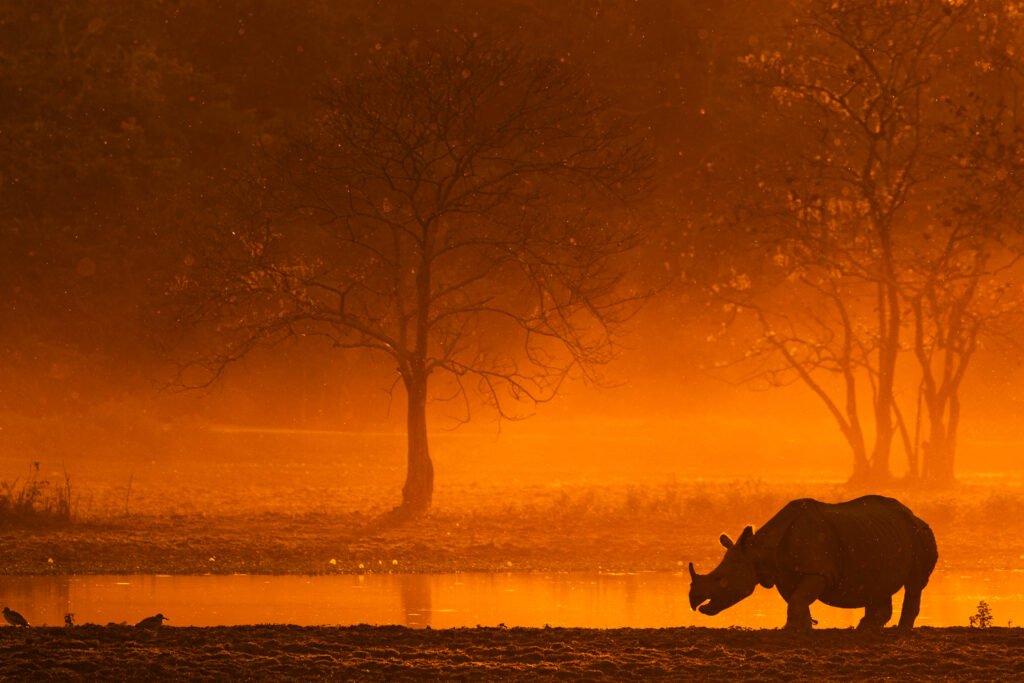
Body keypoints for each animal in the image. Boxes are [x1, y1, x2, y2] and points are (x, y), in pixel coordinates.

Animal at [688, 495, 937, 630]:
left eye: (720, 579)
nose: (693, 601)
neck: (758, 551)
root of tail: (915, 515)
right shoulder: (784, 574)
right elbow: (796, 601)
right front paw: (802, 627)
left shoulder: (819, 571)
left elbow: (797, 600)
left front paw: (791, 629)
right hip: (880, 536)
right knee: (878, 585)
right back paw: (865, 629)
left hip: (920, 533)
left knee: (914, 584)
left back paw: (901, 630)